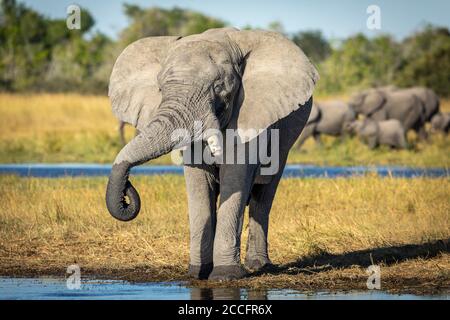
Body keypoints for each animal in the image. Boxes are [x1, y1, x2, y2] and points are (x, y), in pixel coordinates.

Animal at [104, 28, 320, 282]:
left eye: (219, 88)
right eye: (160, 89)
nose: (127, 191)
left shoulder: (248, 114)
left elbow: (235, 175)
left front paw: (225, 275)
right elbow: (199, 183)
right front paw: (197, 273)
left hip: (284, 142)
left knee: (263, 195)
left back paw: (259, 266)